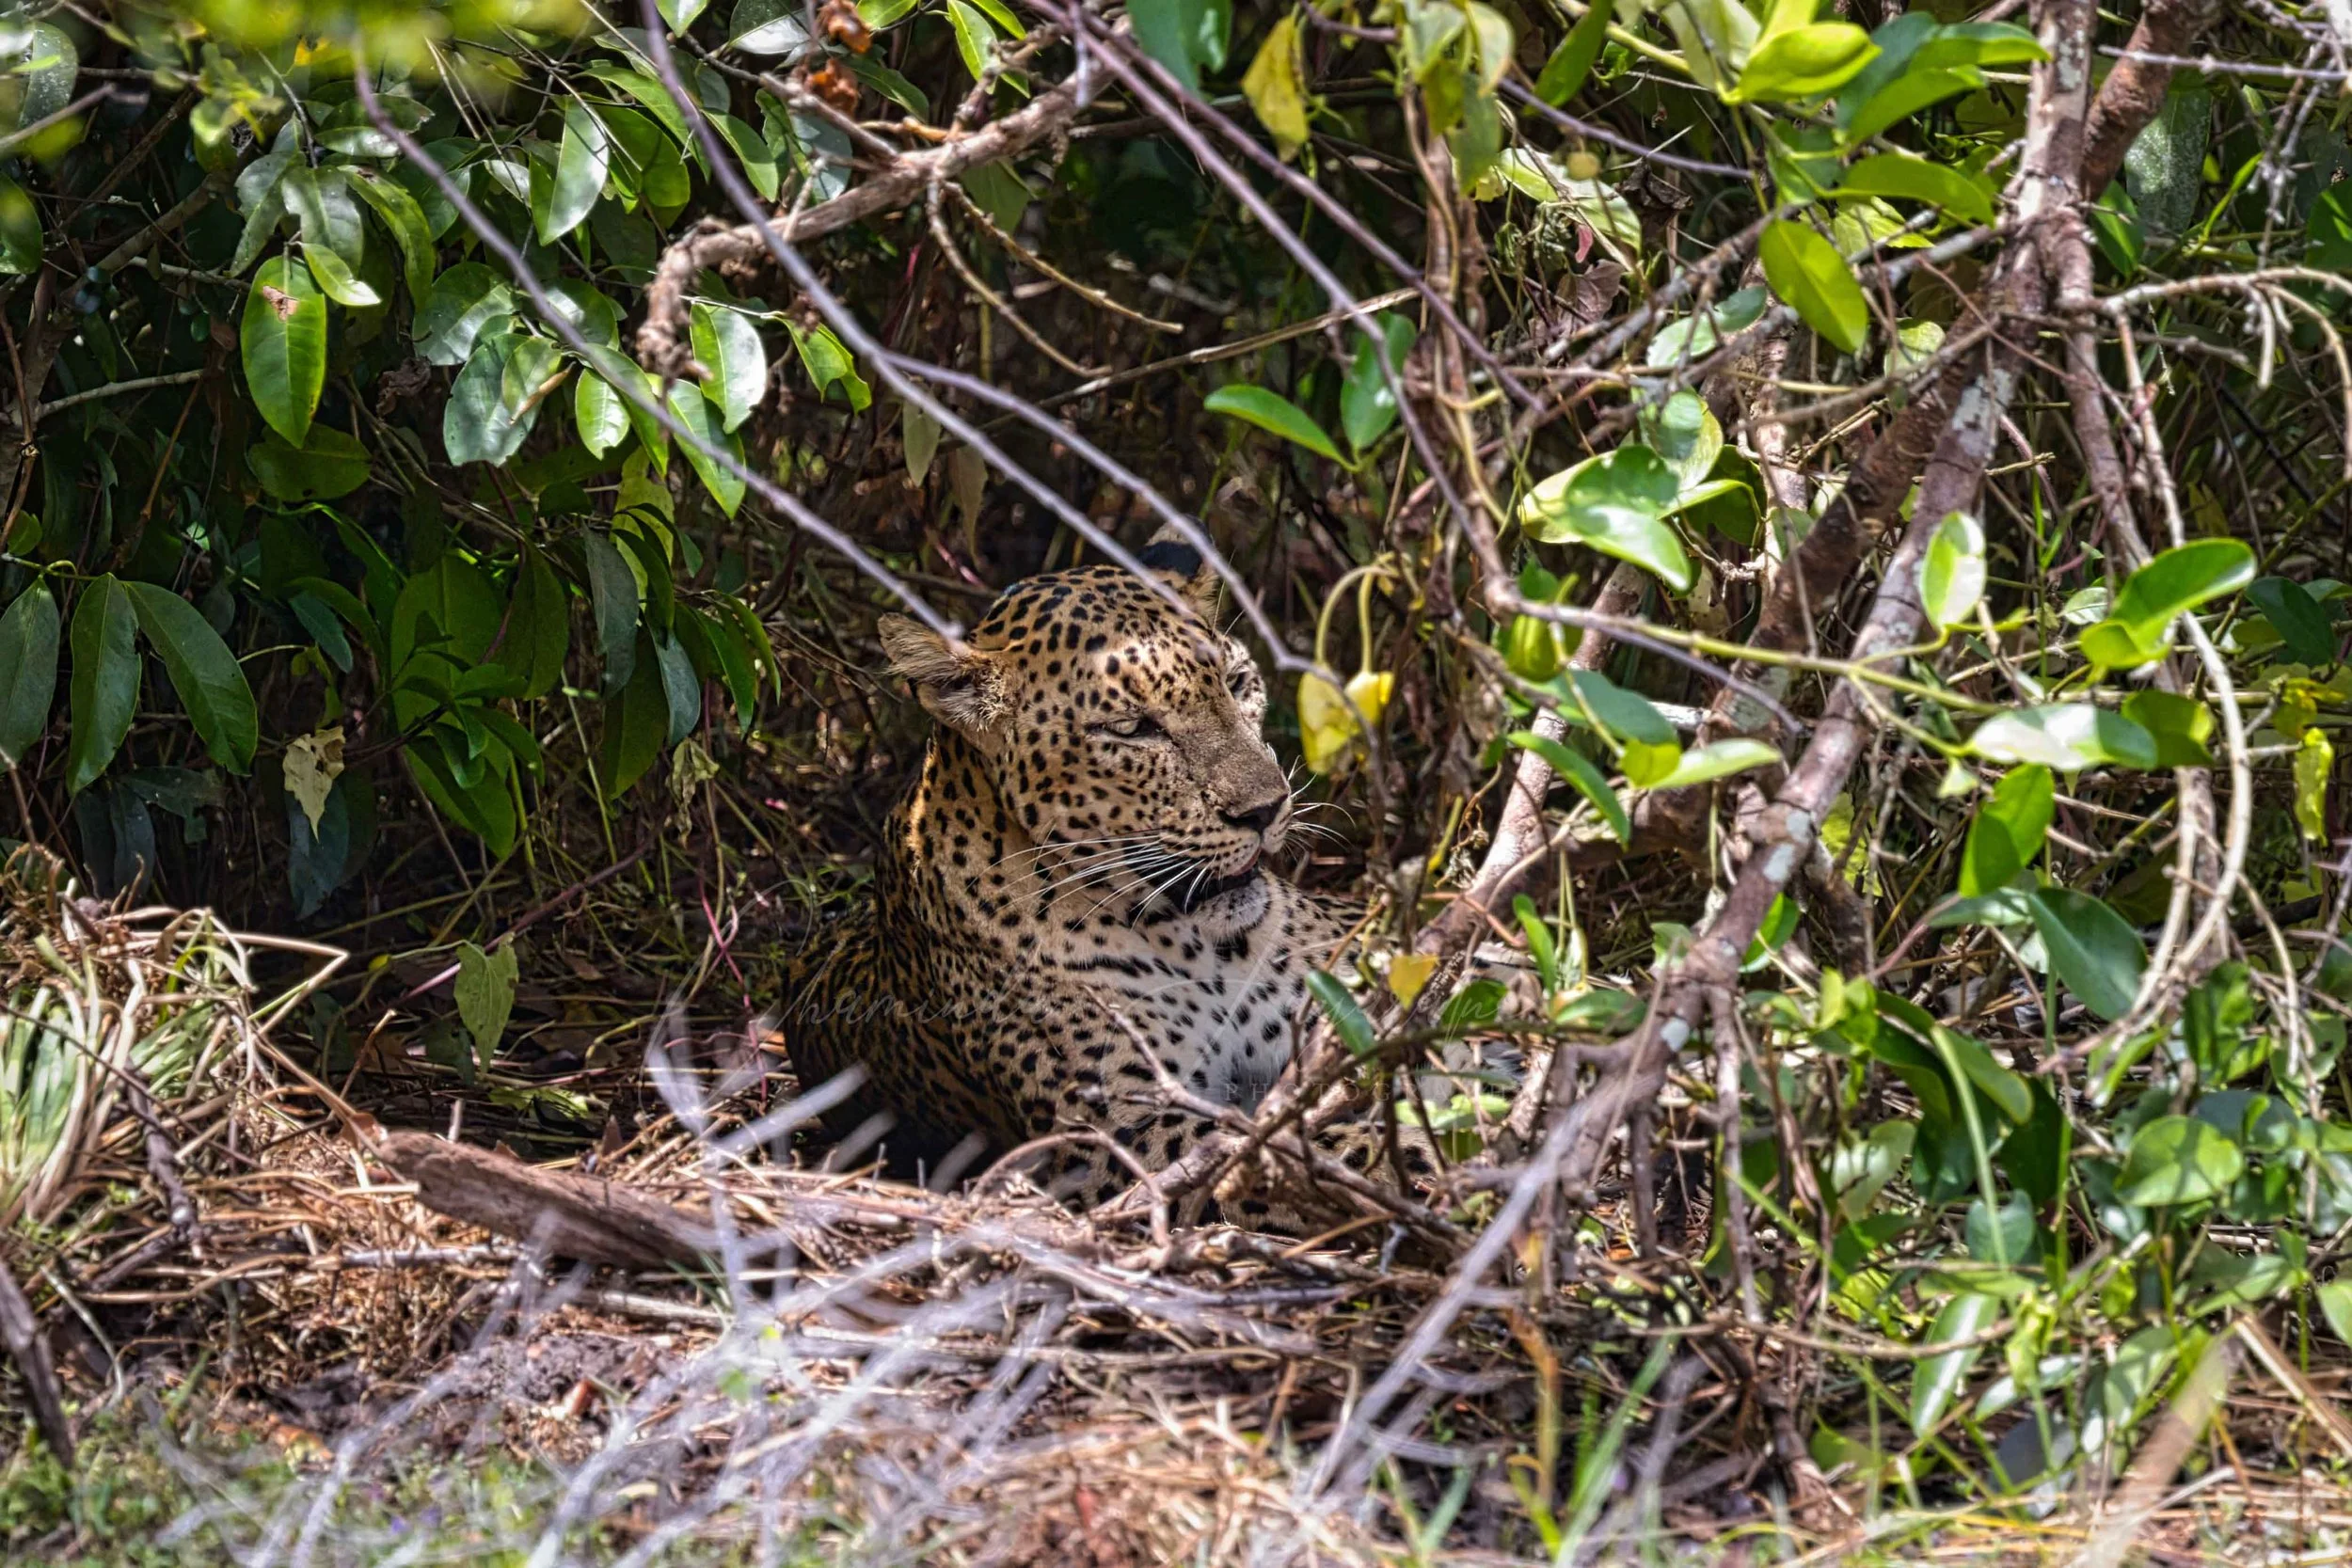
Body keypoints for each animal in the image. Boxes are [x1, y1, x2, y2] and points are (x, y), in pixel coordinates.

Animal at [776, 533, 1377, 1220]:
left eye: (1237, 682)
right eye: (1132, 728)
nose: (1266, 808)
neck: (1204, 944)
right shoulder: (1133, 1132)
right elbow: (1314, 1156)